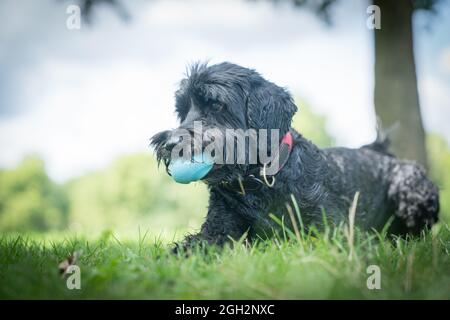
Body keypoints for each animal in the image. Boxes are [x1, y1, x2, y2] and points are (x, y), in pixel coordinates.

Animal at [150, 61, 436, 249]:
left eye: (216, 104)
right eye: (182, 110)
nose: (170, 143)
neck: (259, 180)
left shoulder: (330, 230)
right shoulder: (218, 230)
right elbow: (193, 246)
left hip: (411, 188)